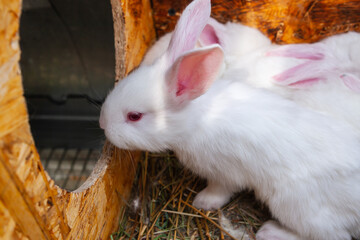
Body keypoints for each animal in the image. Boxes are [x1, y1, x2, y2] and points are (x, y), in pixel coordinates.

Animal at [100, 0, 360, 239]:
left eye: (134, 116)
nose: (103, 124)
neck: (198, 119)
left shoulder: (225, 174)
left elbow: (221, 190)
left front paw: (202, 202)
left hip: (294, 206)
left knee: (330, 235)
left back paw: (270, 231)